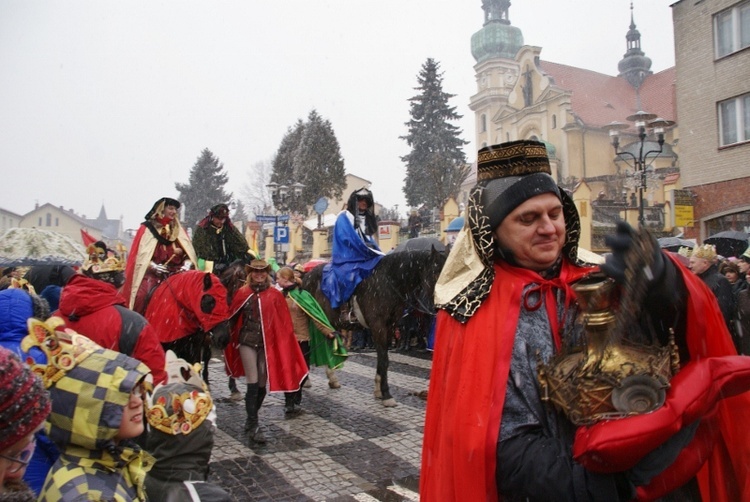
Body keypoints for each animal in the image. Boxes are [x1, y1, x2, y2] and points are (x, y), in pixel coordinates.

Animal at [306, 249, 446, 406]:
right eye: (436, 273)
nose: (442, 305)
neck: (389, 281)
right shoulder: (378, 326)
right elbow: (384, 359)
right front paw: (386, 394)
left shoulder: (389, 327)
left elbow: (383, 358)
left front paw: (379, 390)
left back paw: (332, 379)